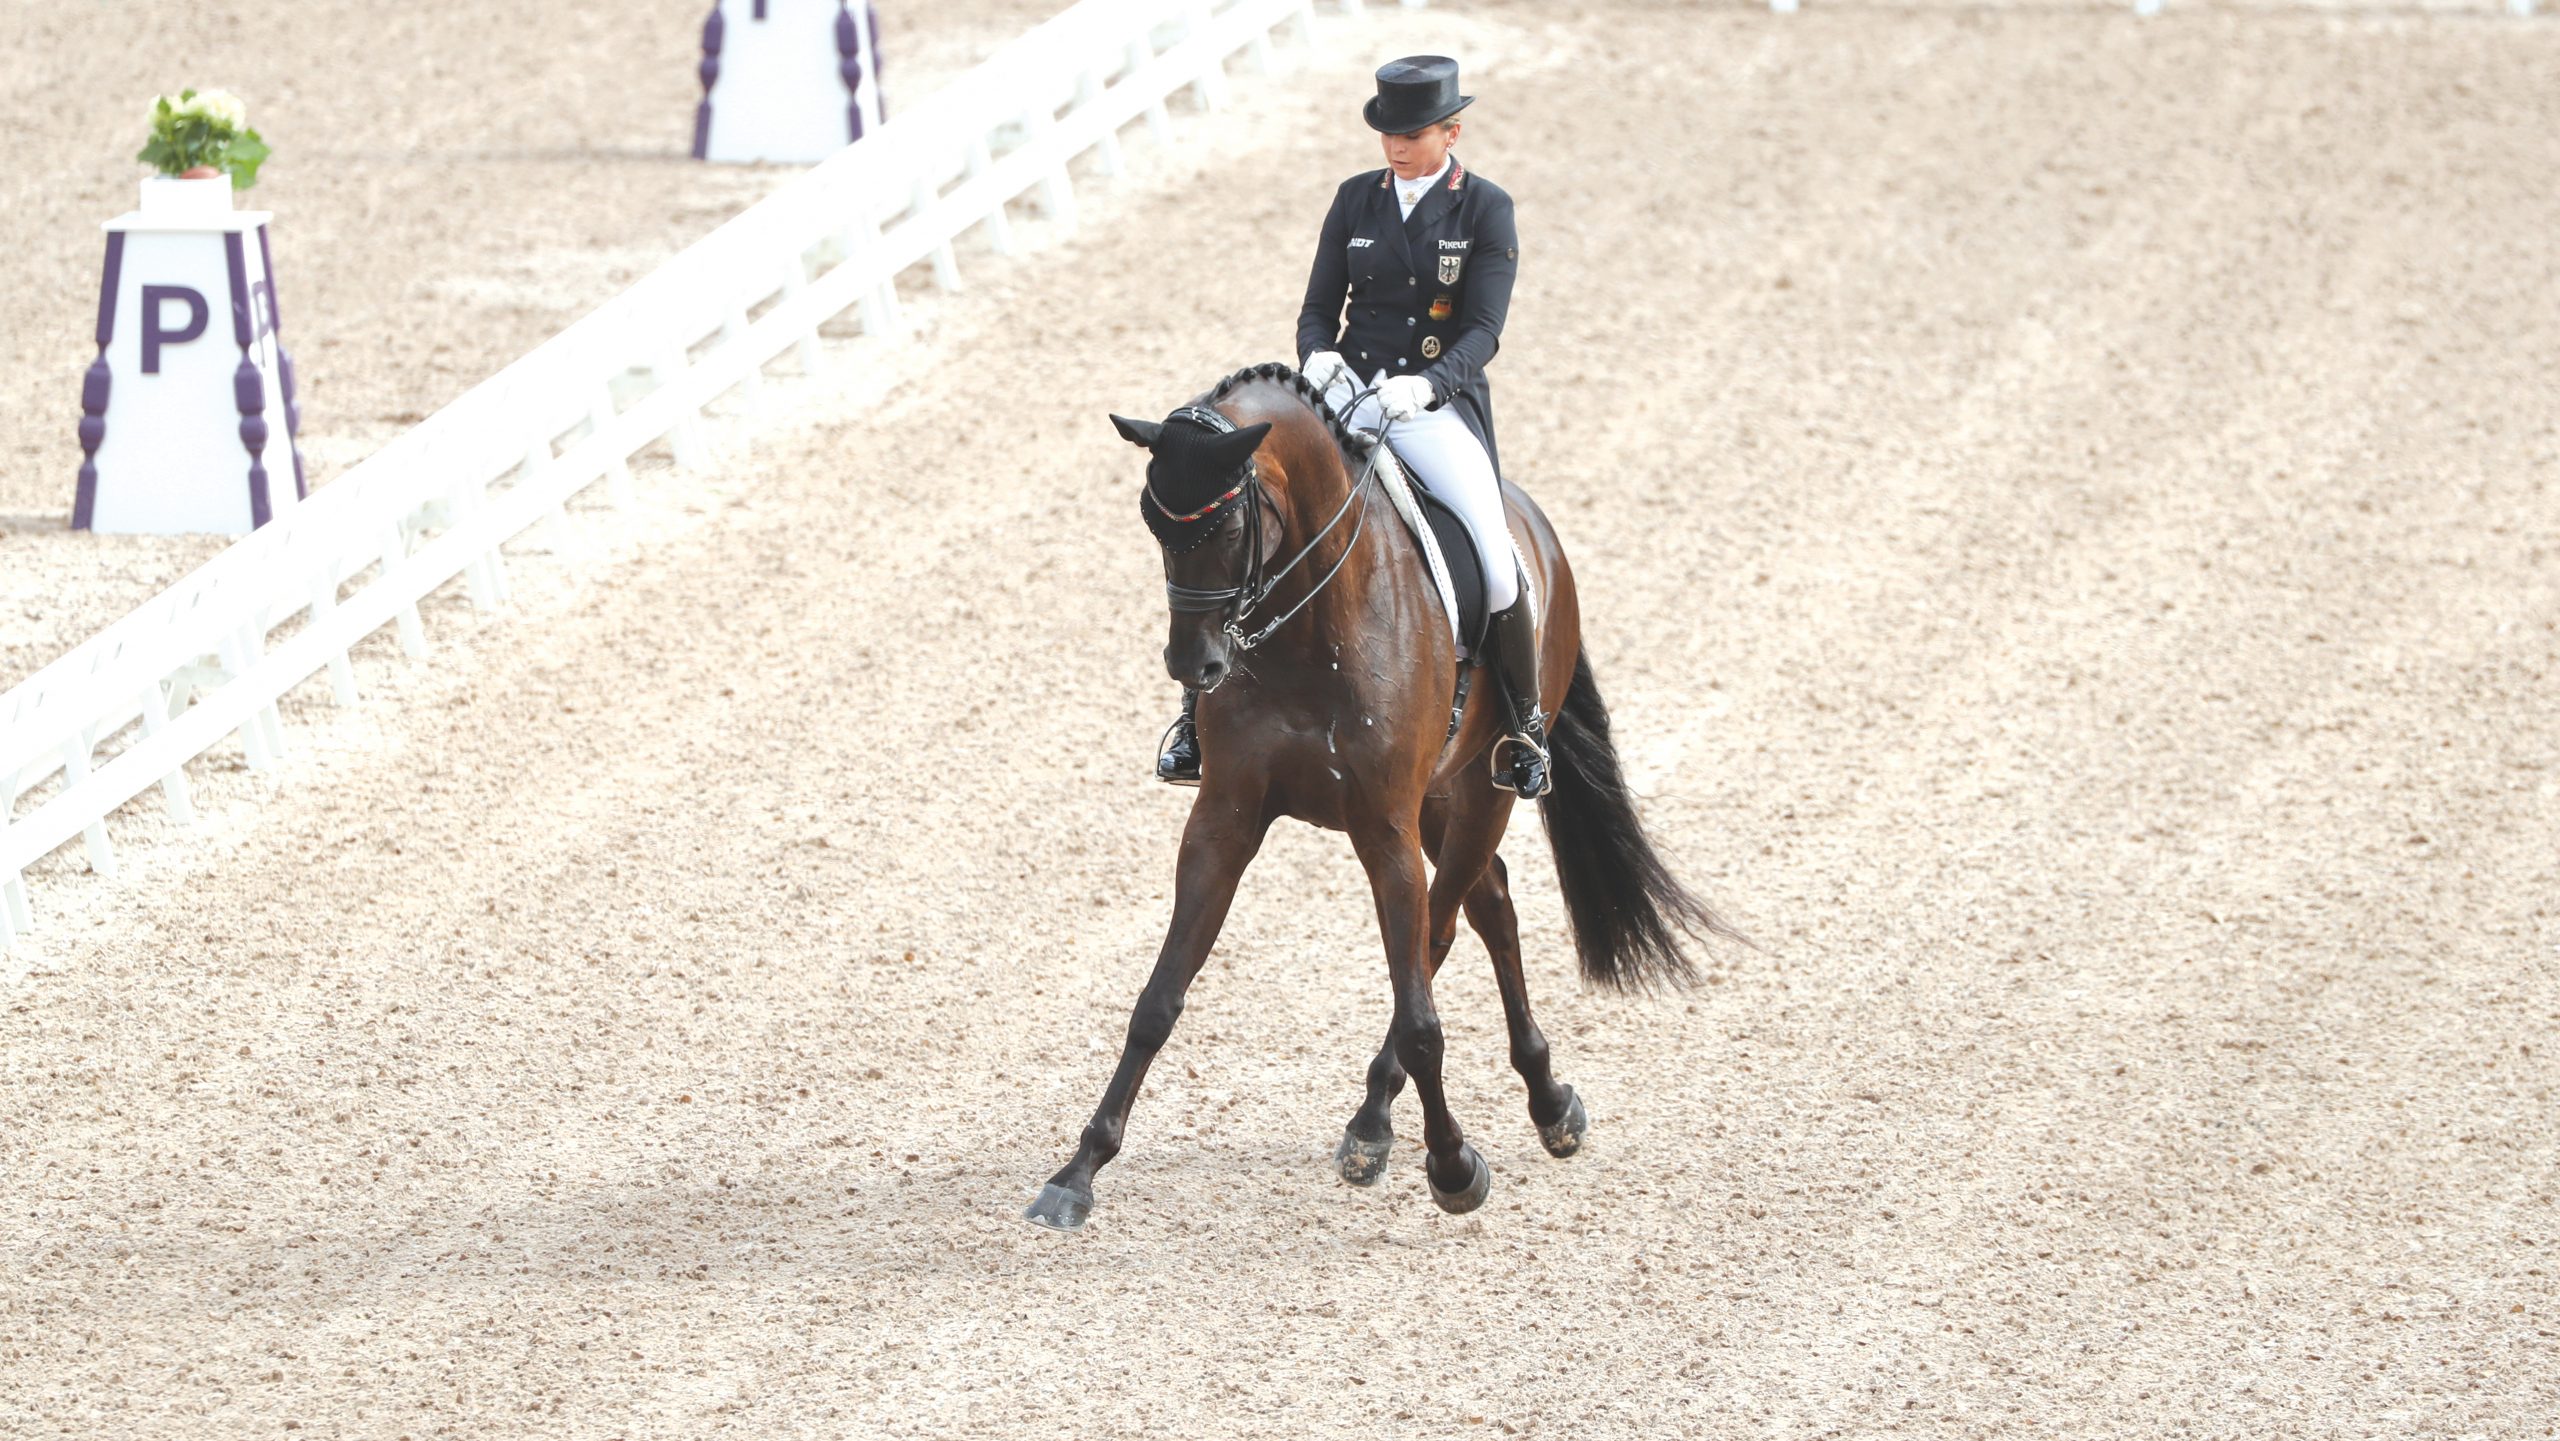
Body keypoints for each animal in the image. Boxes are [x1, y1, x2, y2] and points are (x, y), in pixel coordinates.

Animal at [1023, 362, 1737, 1231]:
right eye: (1154, 523)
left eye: (1227, 525)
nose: (1193, 665)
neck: (1308, 628)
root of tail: (1532, 522)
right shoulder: (1223, 819)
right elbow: (1158, 998)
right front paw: (1078, 1171)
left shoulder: (1383, 828)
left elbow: (1422, 1012)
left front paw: (1454, 1166)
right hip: (1441, 800)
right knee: (1489, 903)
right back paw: (1540, 1099)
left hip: (1484, 790)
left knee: (1446, 929)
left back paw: (1388, 1122)